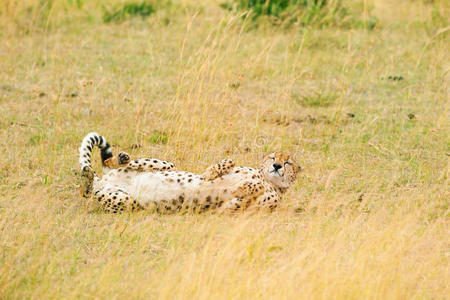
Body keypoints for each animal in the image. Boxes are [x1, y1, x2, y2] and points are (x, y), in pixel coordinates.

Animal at [79, 133, 300, 213]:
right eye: (273, 157)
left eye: (288, 162)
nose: (277, 166)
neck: (267, 179)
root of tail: (103, 181)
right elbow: (227, 163)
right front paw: (212, 173)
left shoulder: (231, 209)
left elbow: (249, 192)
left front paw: (244, 187)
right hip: (166, 164)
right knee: (113, 162)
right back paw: (121, 159)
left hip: (126, 202)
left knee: (87, 190)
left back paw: (88, 180)